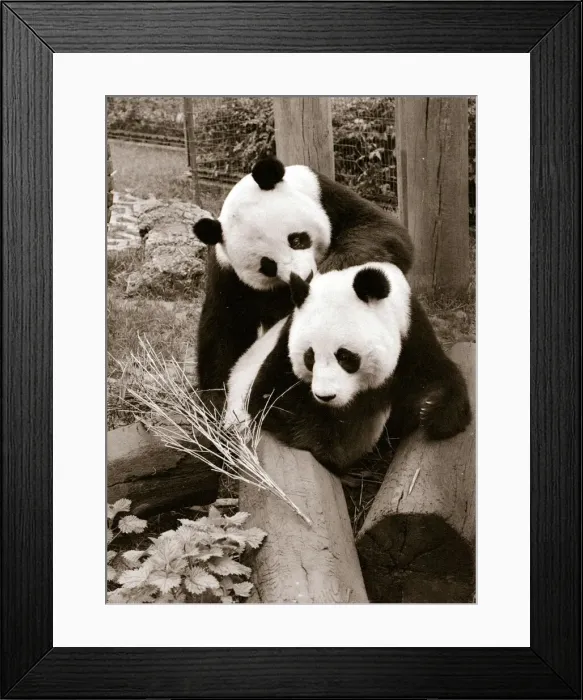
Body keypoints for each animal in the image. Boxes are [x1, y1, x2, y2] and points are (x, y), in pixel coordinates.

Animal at [193, 156, 413, 392]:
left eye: (297, 239)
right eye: (268, 266)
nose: (305, 275)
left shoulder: (327, 195)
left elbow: (382, 230)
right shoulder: (227, 273)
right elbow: (225, 329)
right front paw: (215, 395)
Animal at [224, 263, 471, 476]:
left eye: (344, 356)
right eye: (309, 357)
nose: (325, 396)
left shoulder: (410, 333)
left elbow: (435, 376)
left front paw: (431, 409)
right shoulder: (284, 345)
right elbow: (269, 397)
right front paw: (333, 450)